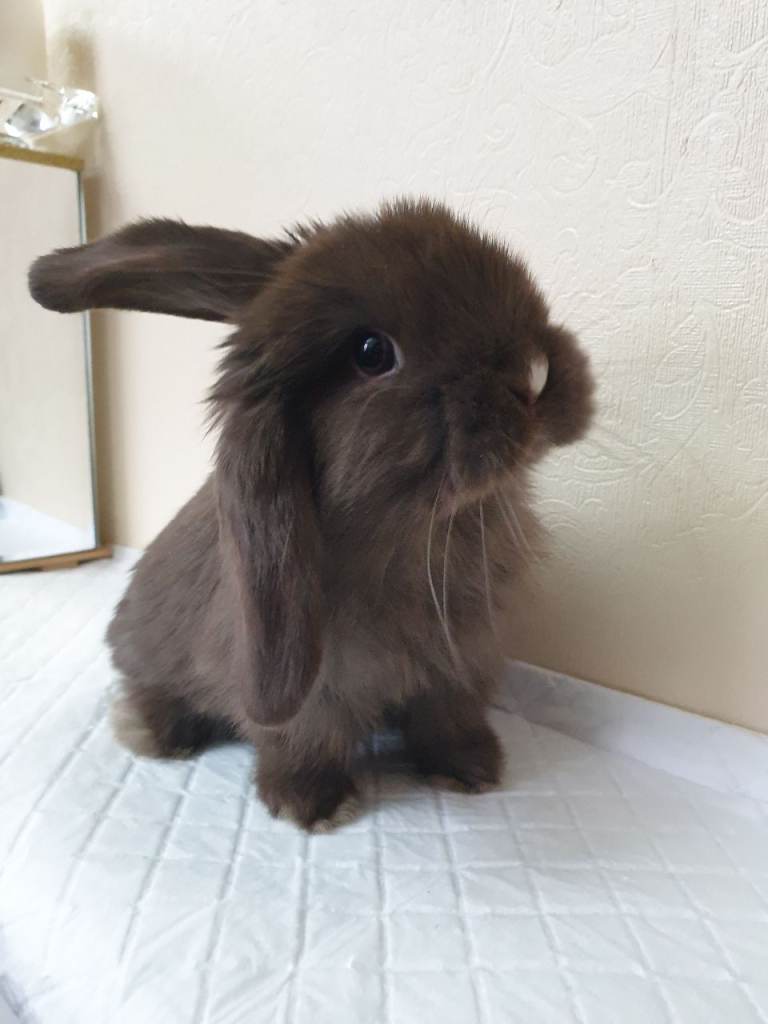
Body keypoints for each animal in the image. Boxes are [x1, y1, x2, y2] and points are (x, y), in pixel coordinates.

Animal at [29, 198, 594, 831]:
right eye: (372, 353)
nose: (536, 372)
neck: (425, 527)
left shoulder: (462, 661)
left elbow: (450, 718)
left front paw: (471, 771)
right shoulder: (310, 687)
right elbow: (303, 739)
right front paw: (310, 805)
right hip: (150, 655)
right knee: (147, 692)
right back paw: (158, 736)